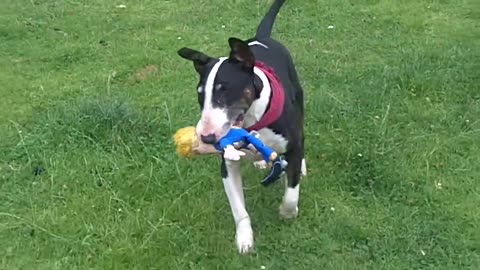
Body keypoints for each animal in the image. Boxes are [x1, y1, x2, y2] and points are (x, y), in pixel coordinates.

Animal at [175, 0, 304, 253]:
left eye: (225, 90)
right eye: (200, 94)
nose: (207, 138)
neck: (252, 122)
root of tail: (261, 38)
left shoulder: (292, 146)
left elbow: (292, 190)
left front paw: (287, 212)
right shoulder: (228, 164)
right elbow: (238, 209)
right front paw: (244, 240)